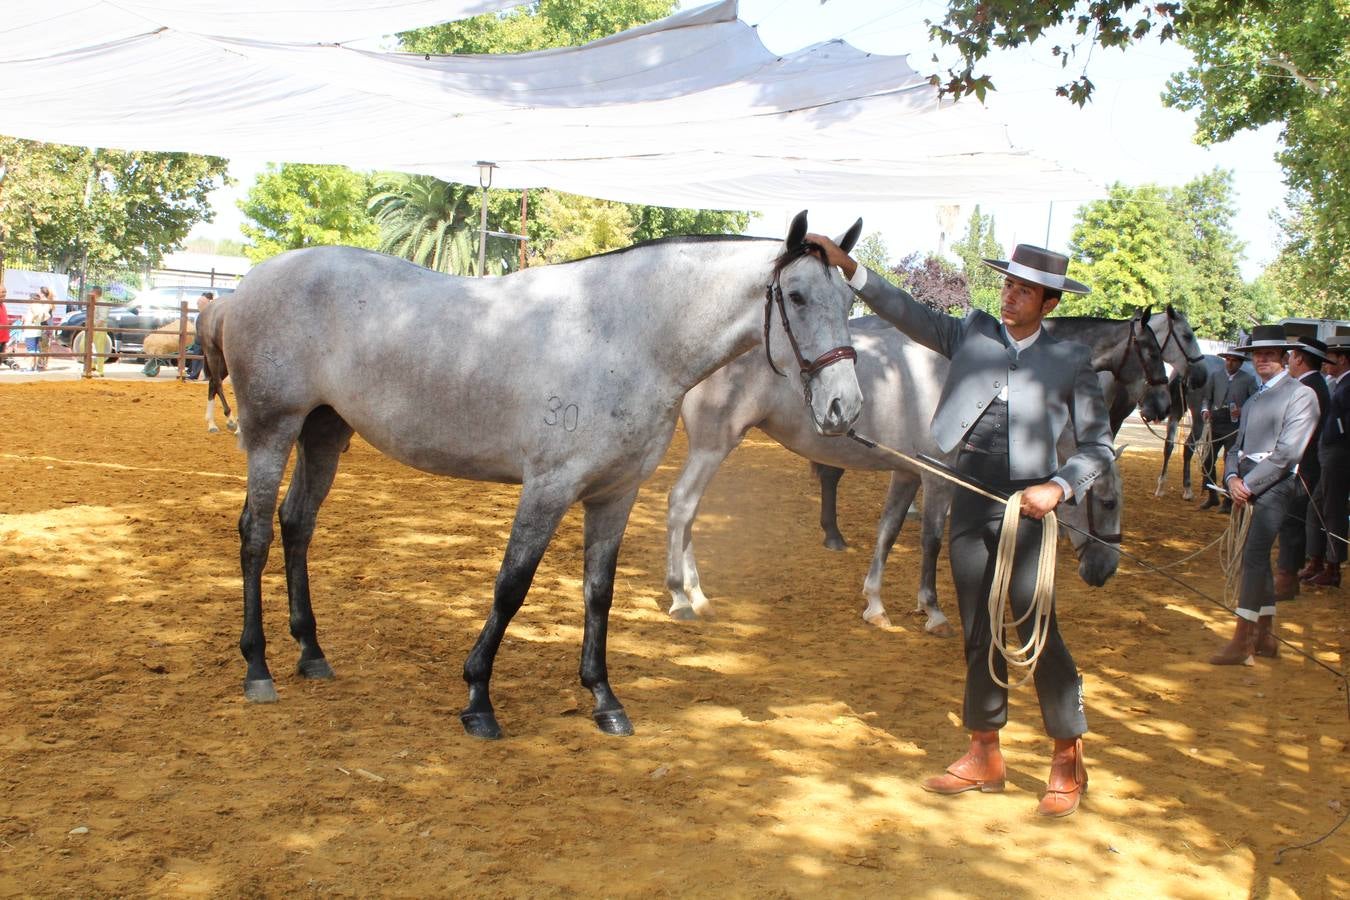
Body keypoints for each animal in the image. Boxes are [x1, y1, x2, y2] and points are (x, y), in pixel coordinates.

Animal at [669, 317, 1134, 634]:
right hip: (713, 447)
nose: (1106, 571)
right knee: (682, 506)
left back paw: (695, 595)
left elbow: (888, 533)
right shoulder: (937, 480)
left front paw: (875, 605)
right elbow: (931, 542)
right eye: (1107, 502)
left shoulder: (907, 475)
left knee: (688, 514)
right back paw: (686, 596)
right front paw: (933, 611)